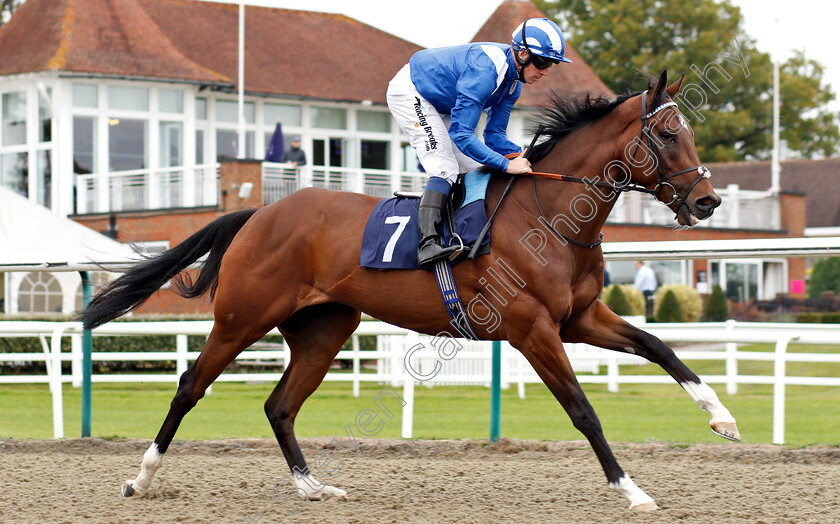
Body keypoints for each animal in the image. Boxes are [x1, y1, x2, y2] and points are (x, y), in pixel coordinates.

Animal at [85, 70, 740, 512]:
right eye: (667, 133)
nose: (709, 201)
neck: (550, 213)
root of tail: (259, 213)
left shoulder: (579, 317)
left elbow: (660, 346)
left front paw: (723, 418)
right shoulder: (532, 330)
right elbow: (584, 411)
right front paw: (631, 490)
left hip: (324, 330)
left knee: (279, 405)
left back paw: (313, 485)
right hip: (241, 317)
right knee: (190, 386)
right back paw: (140, 479)